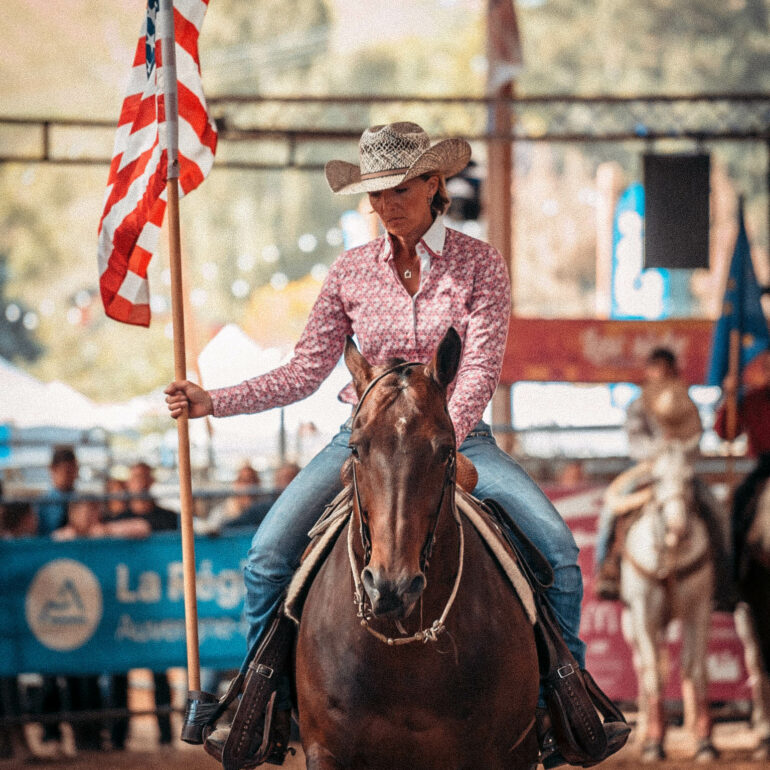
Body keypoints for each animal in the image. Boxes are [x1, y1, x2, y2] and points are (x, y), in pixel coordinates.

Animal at [616, 438, 716, 760]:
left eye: (688, 478)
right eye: (657, 479)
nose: (678, 528)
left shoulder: (698, 609)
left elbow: (695, 669)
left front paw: (705, 741)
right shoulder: (644, 613)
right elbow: (653, 676)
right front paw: (654, 742)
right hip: (631, 625)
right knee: (644, 669)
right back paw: (644, 731)